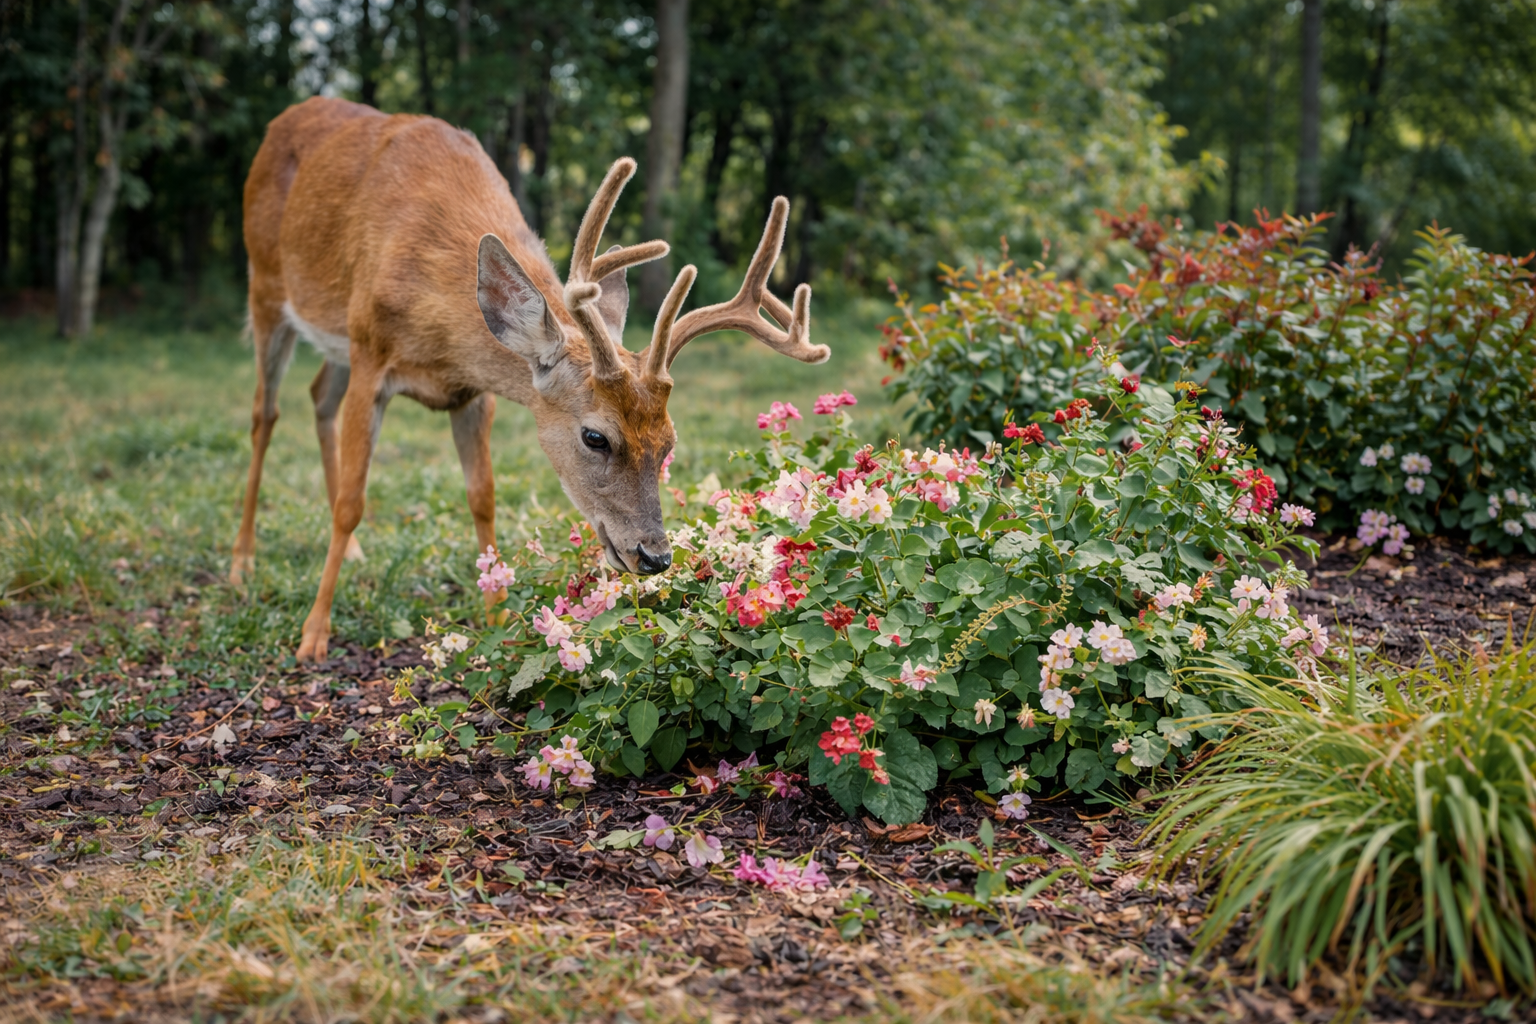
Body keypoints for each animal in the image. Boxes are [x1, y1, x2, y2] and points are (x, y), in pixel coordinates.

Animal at [233, 97, 829, 662]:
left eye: (668, 443)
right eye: (595, 437)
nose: (655, 555)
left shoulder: (472, 393)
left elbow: (482, 496)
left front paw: (497, 617)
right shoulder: (371, 356)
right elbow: (353, 502)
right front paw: (313, 634)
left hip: (331, 338)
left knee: (318, 398)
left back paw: (349, 552)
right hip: (266, 286)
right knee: (265, 413)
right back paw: (243, 561)